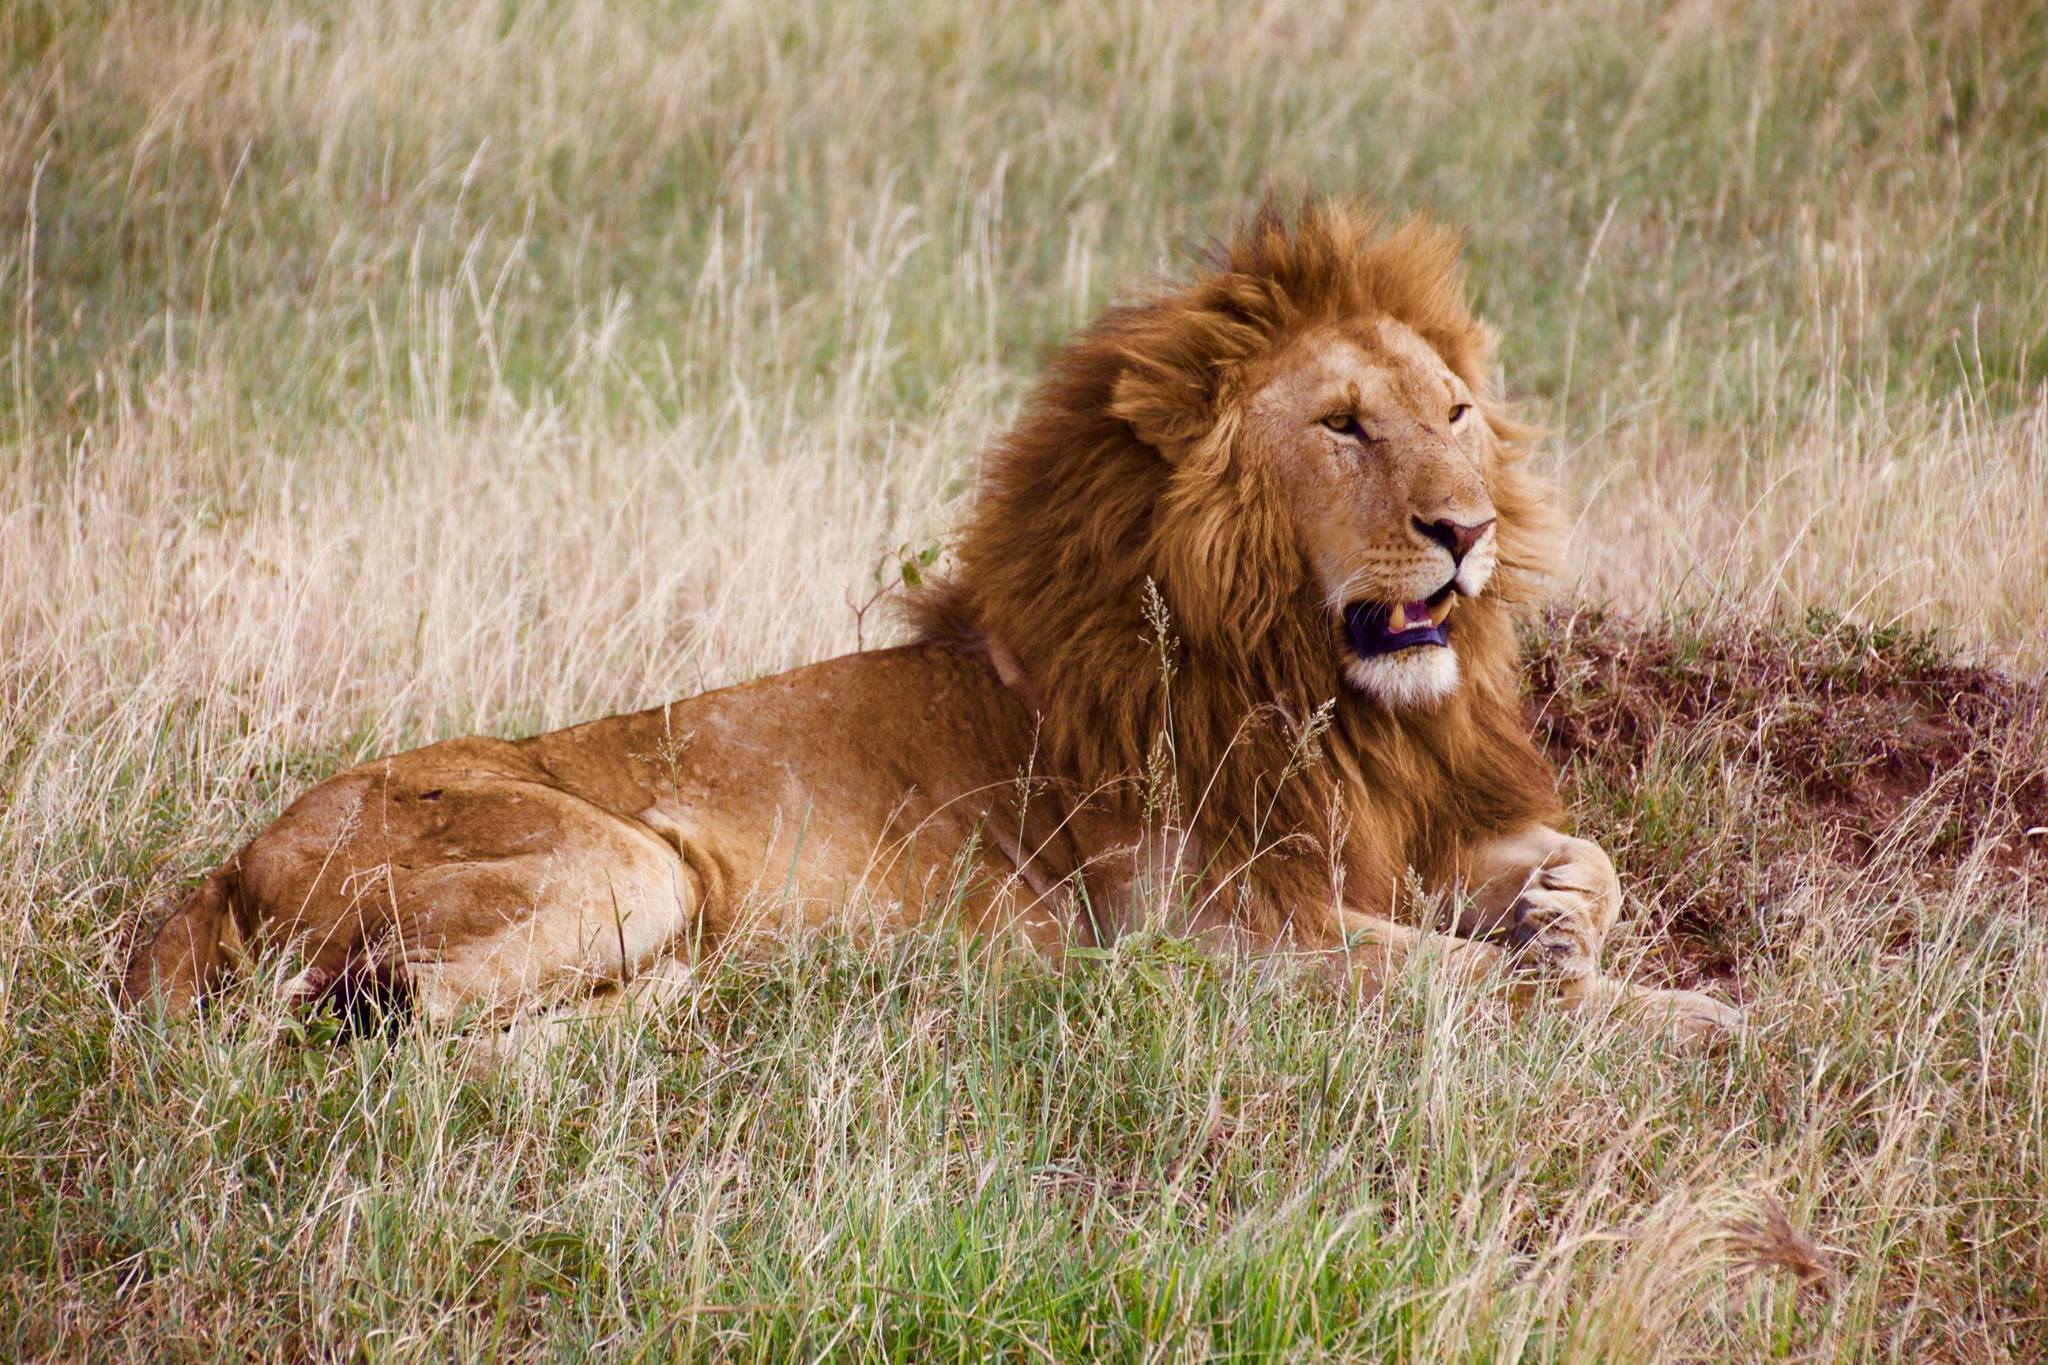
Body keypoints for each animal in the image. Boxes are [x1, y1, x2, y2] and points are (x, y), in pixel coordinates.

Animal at [119, 197, 1736, 1039]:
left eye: (1455, 412)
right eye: (1342, 425)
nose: (1465, 530)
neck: (1298, 686)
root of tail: (227, 867)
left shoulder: (1377, 839)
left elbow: (1577, 865)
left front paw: (1562, 924)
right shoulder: (1222, 938)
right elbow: (1490, 997)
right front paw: (1703, 1029)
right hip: (617, 865)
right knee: (388, 1022)